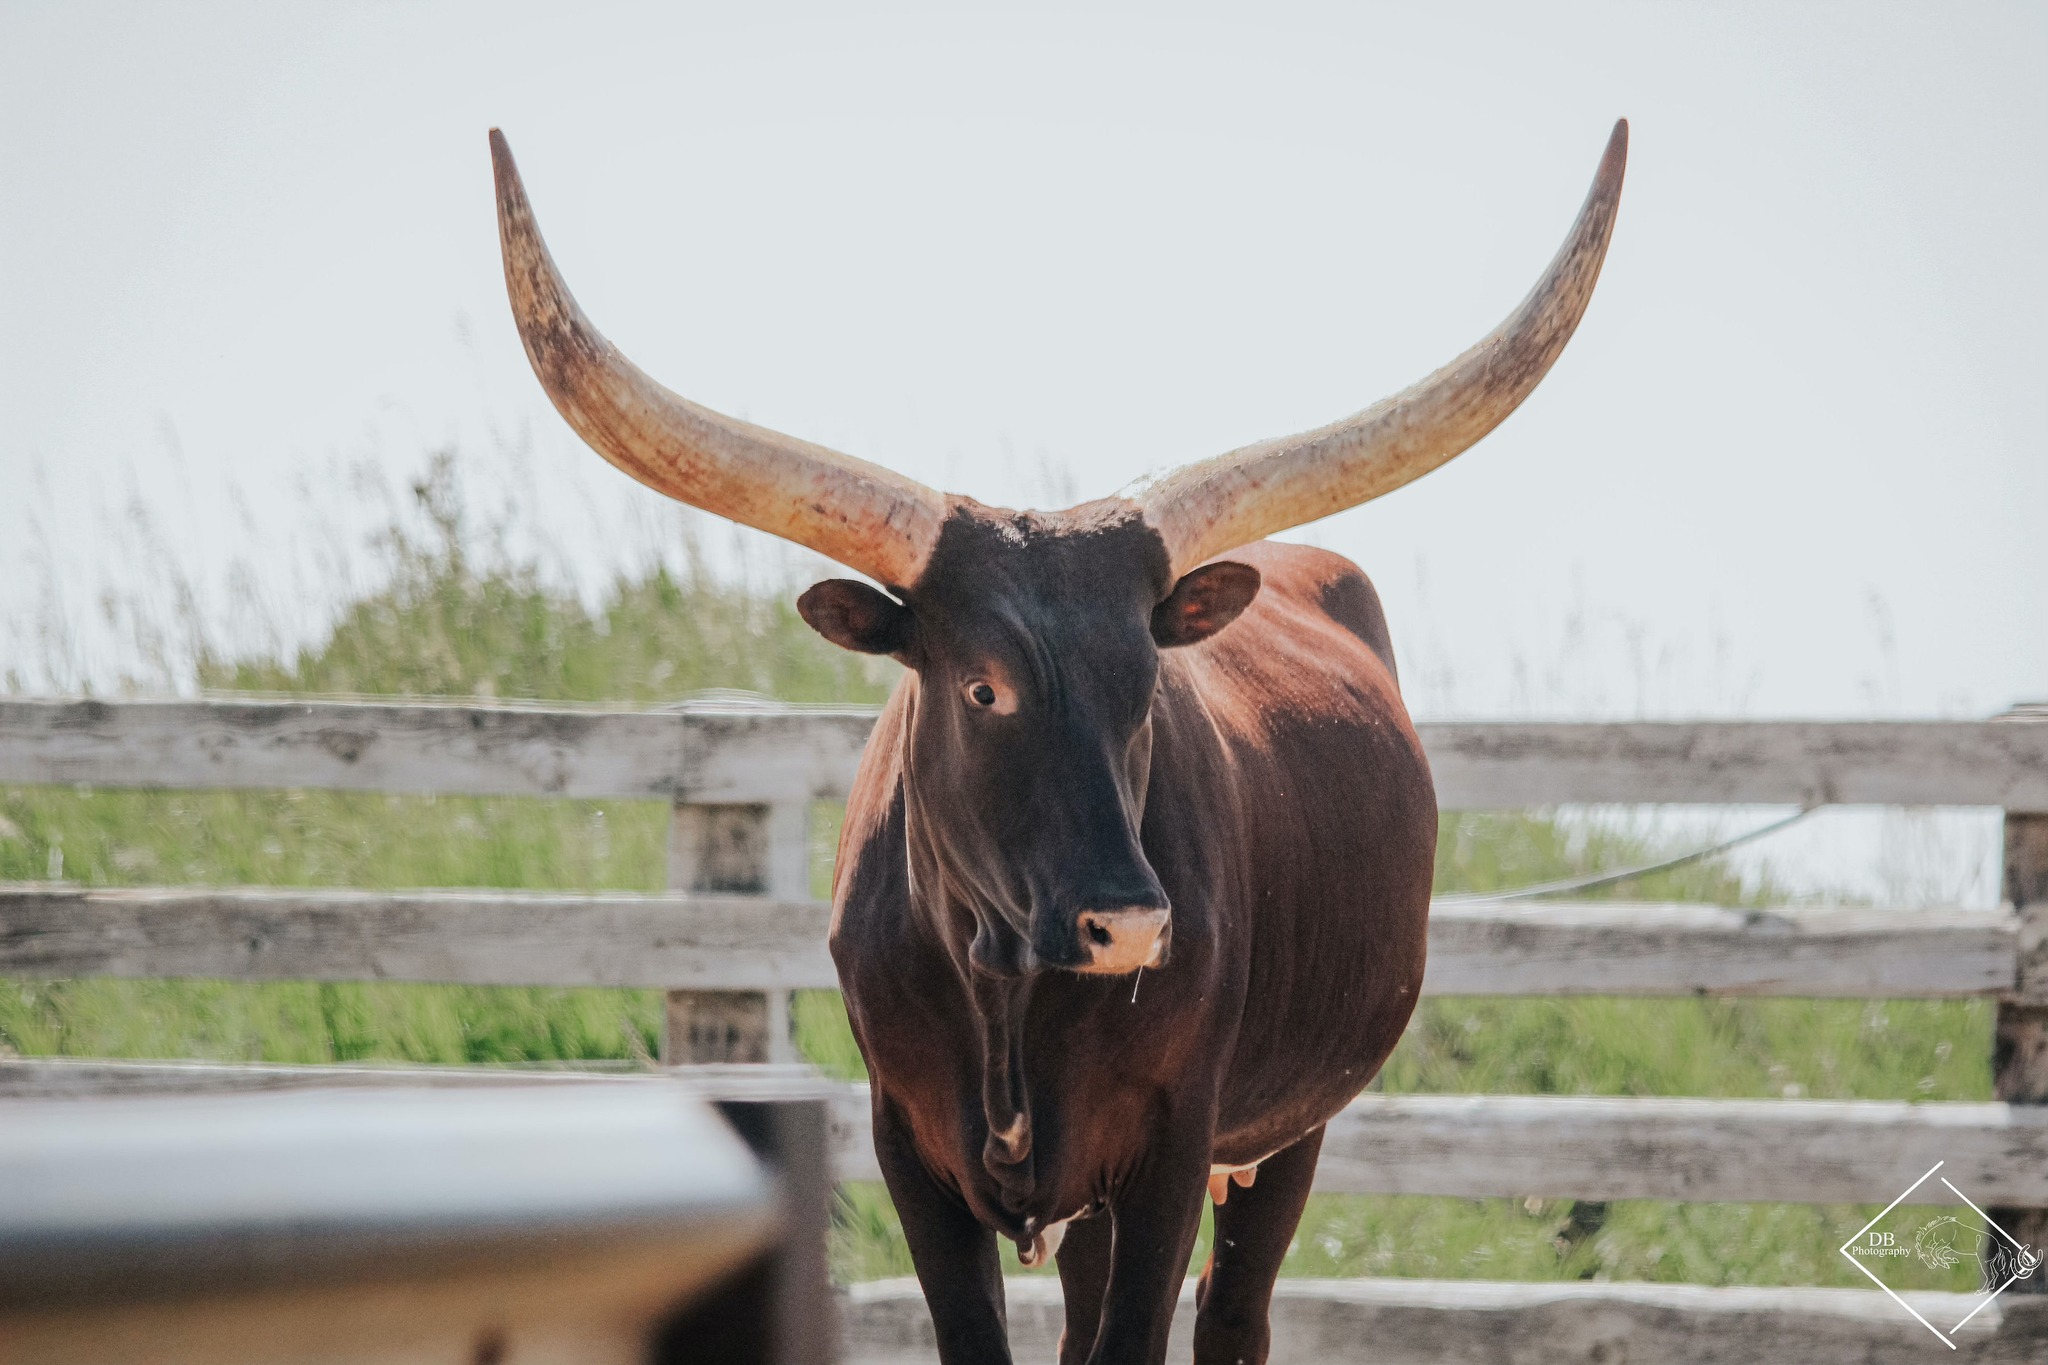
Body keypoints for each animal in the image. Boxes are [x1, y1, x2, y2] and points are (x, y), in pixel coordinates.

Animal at [490, 120, 1627, 1364]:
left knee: (1232, 1313)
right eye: (982, 688)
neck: (1003, 978)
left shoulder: (1172, 1151)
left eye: (1145, 684)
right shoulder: (908, 1151)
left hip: (1287, 1132)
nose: (1125, 923)